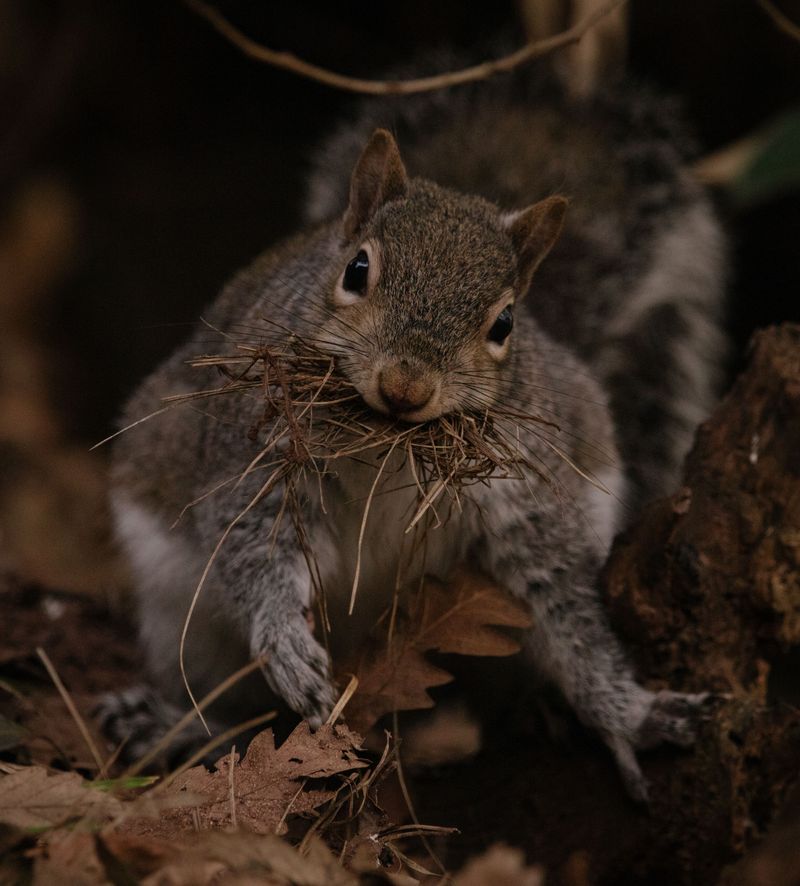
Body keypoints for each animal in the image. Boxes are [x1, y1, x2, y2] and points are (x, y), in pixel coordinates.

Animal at [97, 52, 726, 802]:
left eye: (503, 323)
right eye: (357, 270)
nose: (406, 386)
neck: (391, 445)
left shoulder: (530, 499)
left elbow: (568, 611)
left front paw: (629, 717)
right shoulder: (255, 456)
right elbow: (256, 545)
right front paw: (284, 641)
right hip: (181, 611)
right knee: (231, 703)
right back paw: (180, 725)